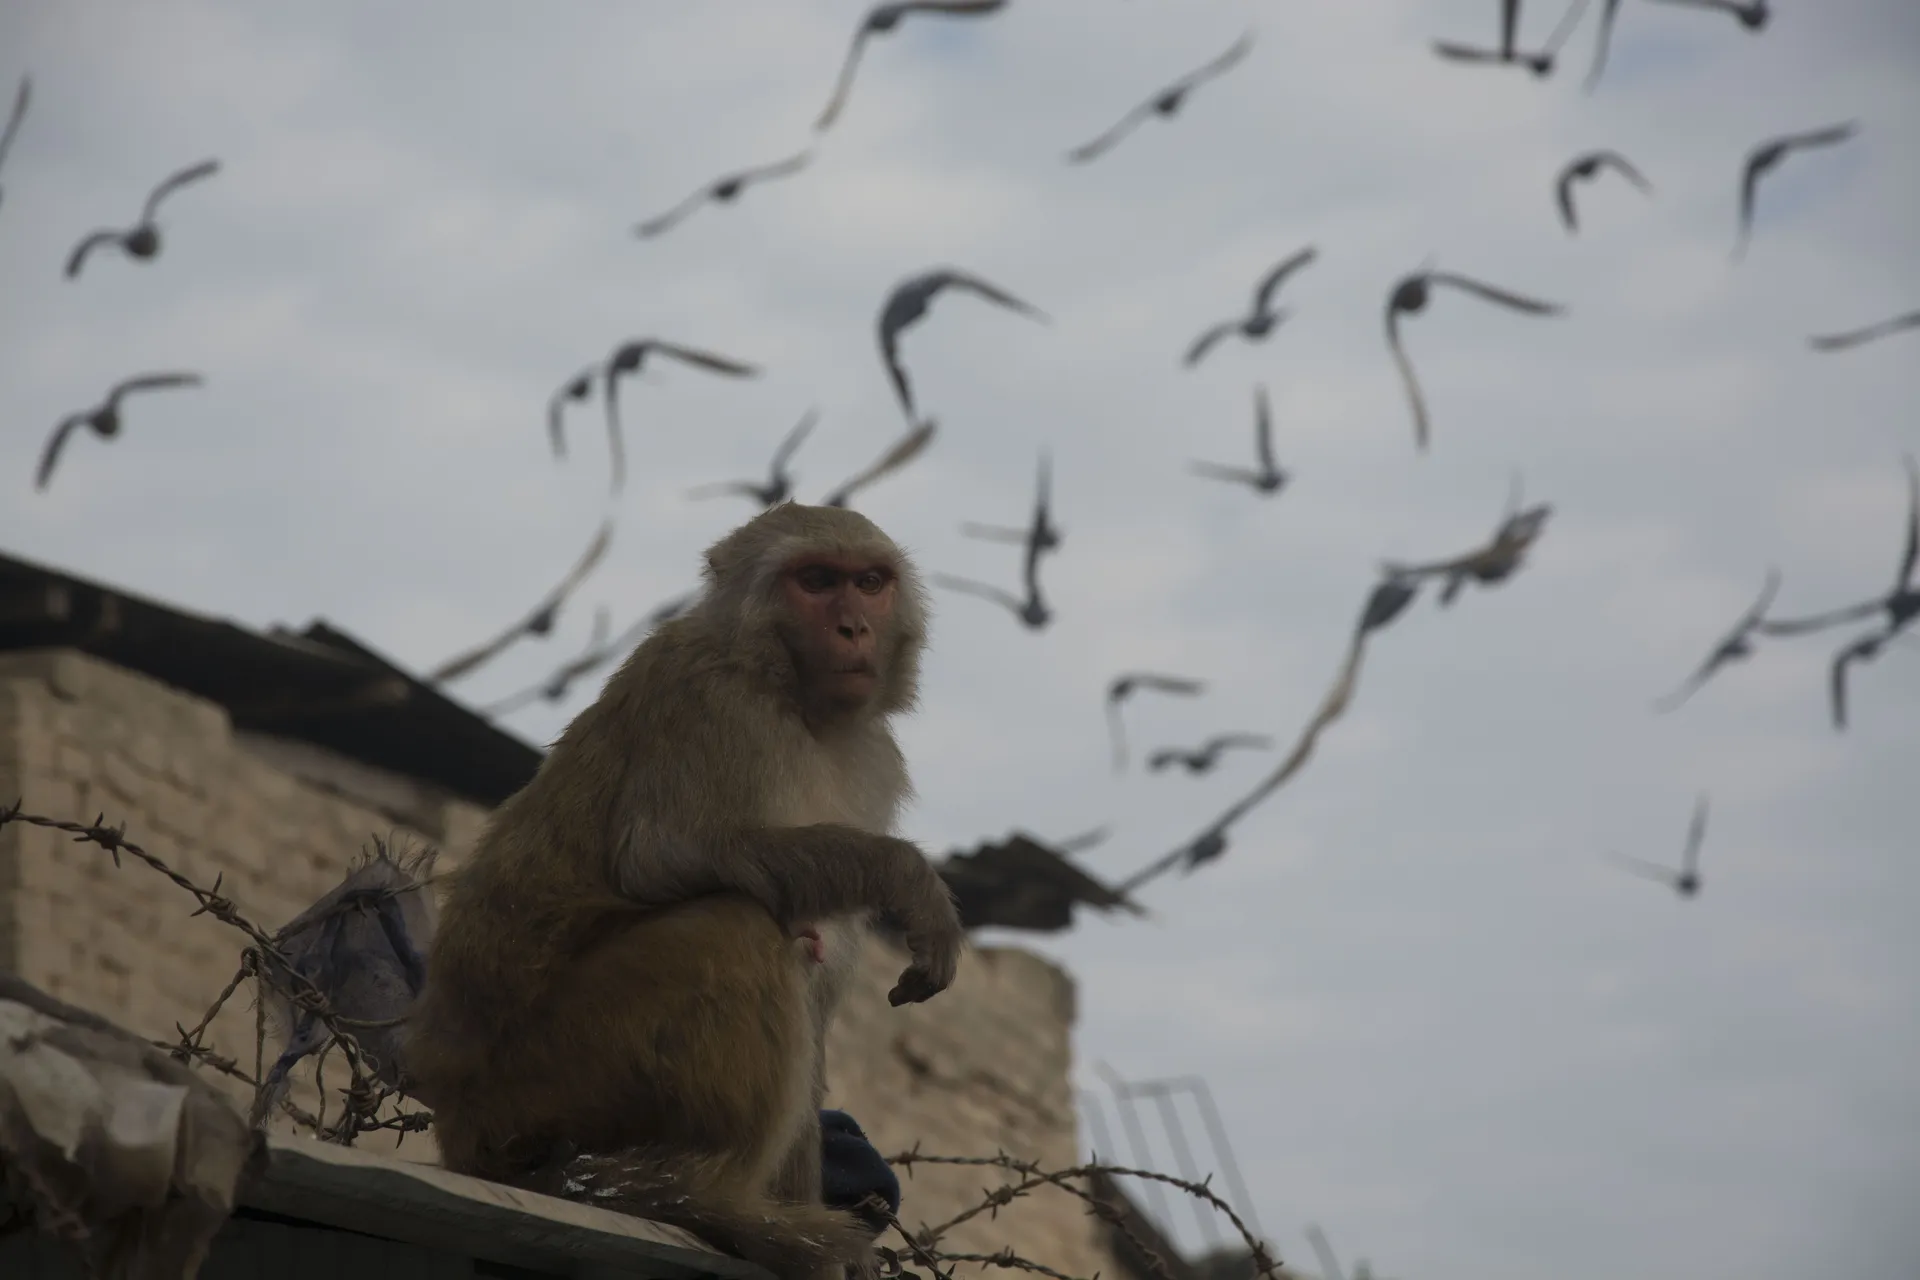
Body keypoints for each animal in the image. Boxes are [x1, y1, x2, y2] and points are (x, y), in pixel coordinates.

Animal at [404, 502, 966, 1280]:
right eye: (817, 581)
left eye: (870, 583)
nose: (855, 627)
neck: (790, 694)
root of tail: (458, 1121)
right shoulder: (707, 695)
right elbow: (663, 854)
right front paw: (905, 878)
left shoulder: (870, 756)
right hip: (553, 1077)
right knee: (731, 925)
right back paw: (716, 1206)